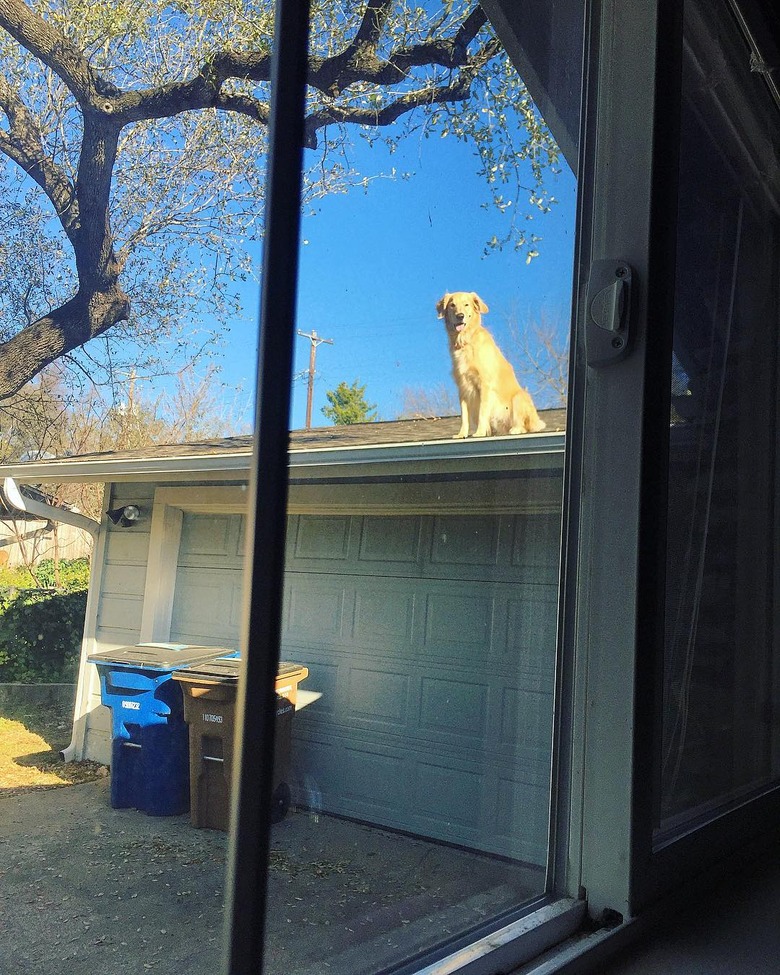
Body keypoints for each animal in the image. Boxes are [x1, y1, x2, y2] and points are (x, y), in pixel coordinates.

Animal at [436, 292, 544, 440]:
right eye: (452, 305)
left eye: (466, 304)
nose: (460, 316)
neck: (466, 340)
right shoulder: (463, 388)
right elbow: (464, 416)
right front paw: (462, 434)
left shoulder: (485, 385)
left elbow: (483, 412)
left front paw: (480, 433)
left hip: (520, 396)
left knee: (524, 426)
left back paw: (515, 429)